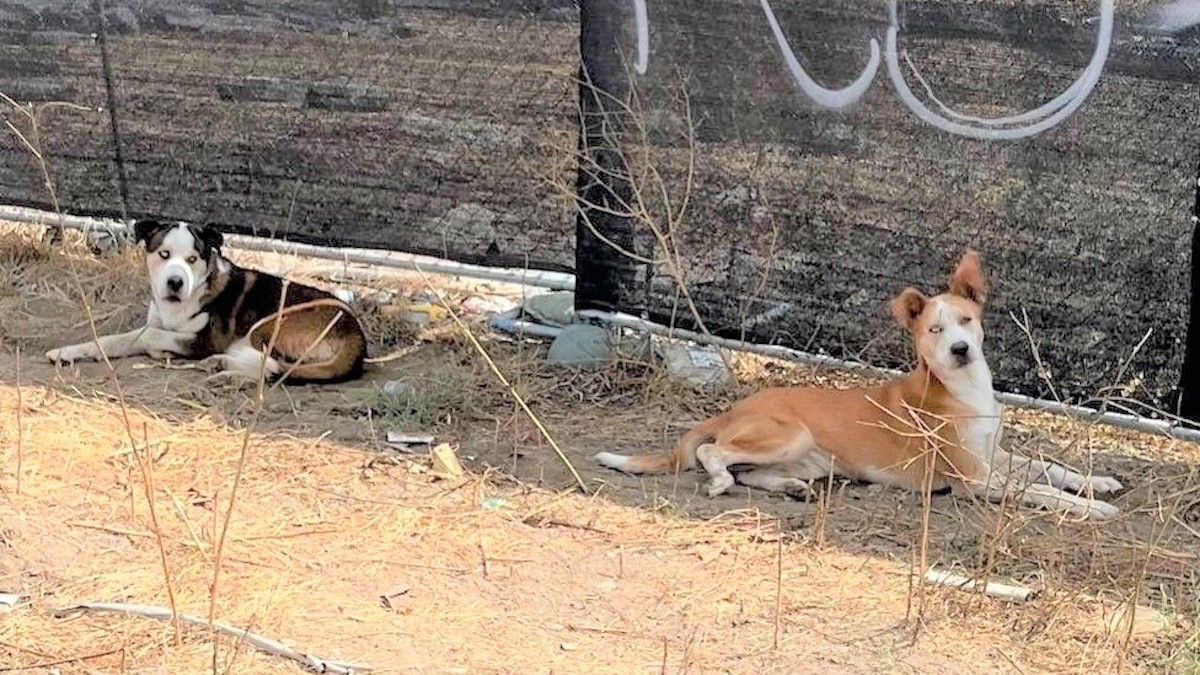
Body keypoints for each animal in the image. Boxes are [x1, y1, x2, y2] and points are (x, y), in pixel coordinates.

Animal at [45, 218, 364, 381]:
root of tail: (357, 337)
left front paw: (161, 352)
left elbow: (149, 337)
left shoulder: (203, 339)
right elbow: (113, 340)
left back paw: (222, 365)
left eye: (192, 259)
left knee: (270, 364)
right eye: (163, 254)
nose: (175, 282)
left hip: (271, 322)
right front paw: (66, 352)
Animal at [595, 252, 1118, 521]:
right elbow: (1042, 489)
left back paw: (789, 489)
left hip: (810, 459)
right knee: (712, 455)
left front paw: (1097, 482)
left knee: (748, 472)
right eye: (934, 329)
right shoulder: (974, 478)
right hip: (789, 434)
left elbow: (1048, 467)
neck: (964, 389)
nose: (960, 350)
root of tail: (735, 407)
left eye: (967, 320)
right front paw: (1090, 507)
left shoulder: (996, 455)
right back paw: (722, 480)